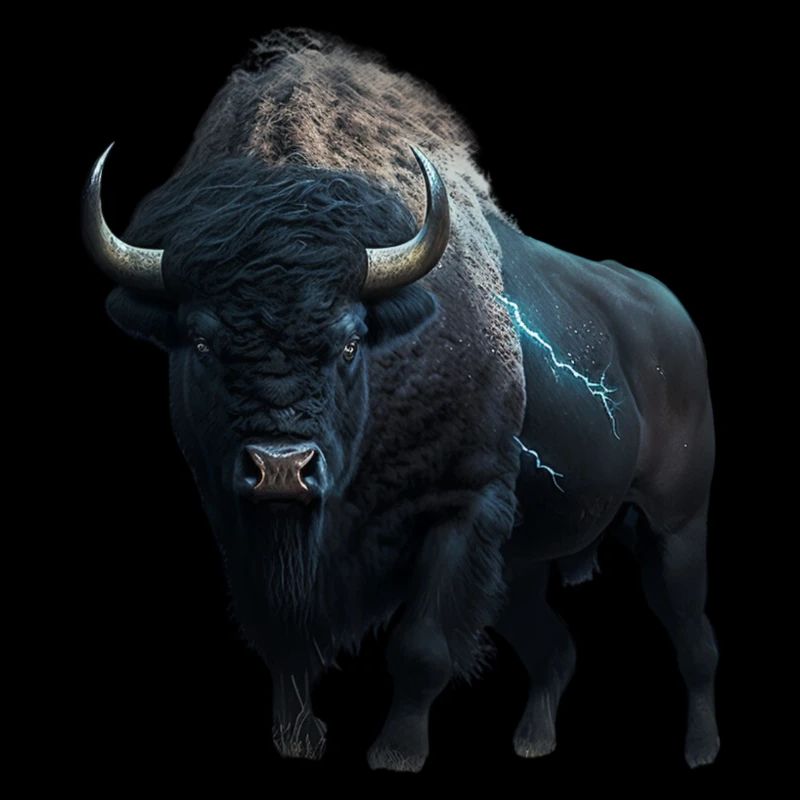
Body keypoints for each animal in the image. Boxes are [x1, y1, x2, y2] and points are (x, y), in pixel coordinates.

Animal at [83, 29, 719, 770]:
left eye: (351, 340)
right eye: (201, 340)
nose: (280, 468)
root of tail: (670, 317)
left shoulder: (461, 507)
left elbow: (421, 648)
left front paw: (396, 752)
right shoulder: (237, 521)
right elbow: (283, 645)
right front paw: (298, 738)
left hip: (675, 526)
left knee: (692, 637)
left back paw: (701, 749)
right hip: (527, 564)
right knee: (556, 649)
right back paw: (534, 740)